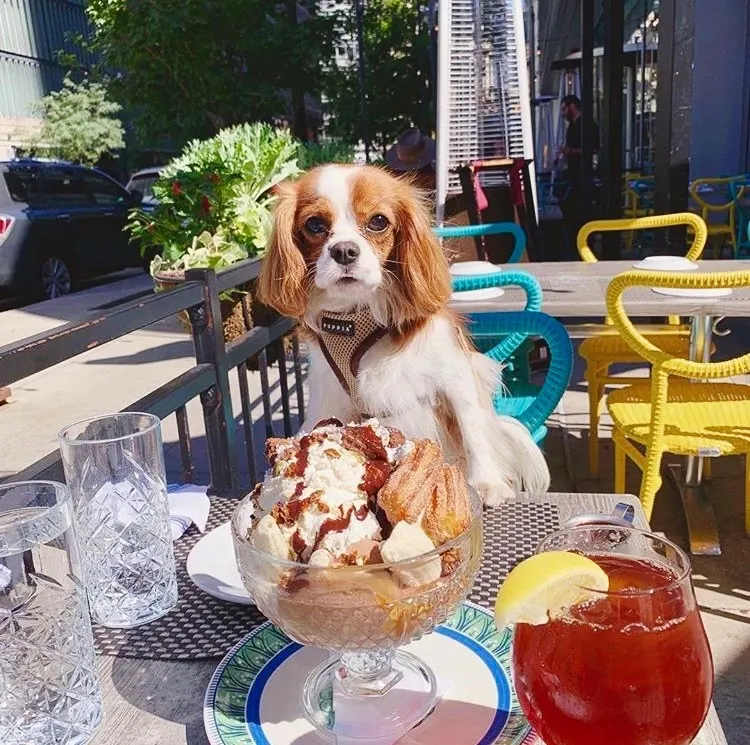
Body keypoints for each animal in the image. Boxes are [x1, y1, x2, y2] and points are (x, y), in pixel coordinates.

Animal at [260, 166, 552, 506]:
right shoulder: (328, 392)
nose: (344, 250)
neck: (358, 315)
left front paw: (486, 482)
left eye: (378, 221)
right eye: (315, 224)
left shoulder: (456, 375)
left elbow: (472, 429)